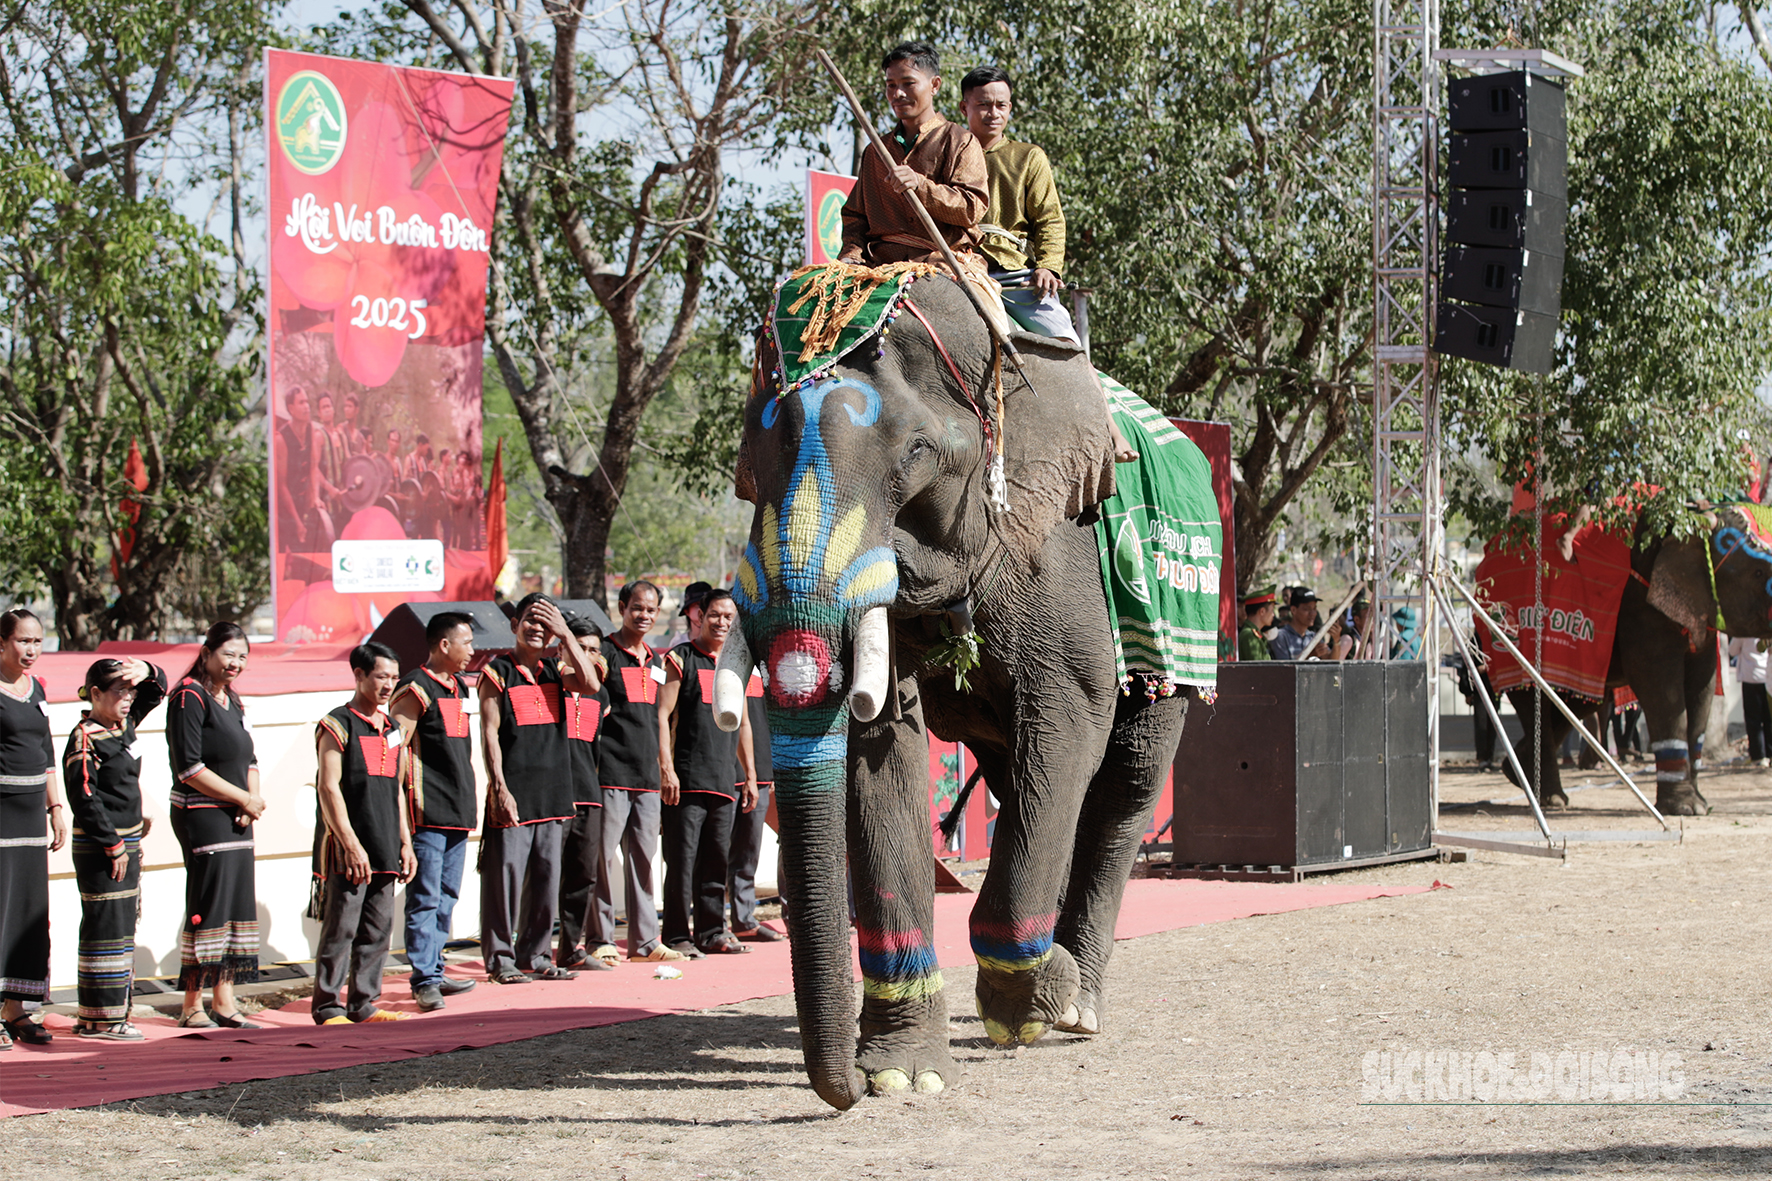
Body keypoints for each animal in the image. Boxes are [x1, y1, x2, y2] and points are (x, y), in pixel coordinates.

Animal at [712, 271, 1197, 1106]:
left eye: (916, 452)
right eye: (749, 464)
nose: (841, 1093)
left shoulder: (1057, 551)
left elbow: (1071, 715)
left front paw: (1031, 1000)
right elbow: (881, 753)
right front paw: (902, 1075)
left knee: (1126, 780)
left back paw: (1077, 1004)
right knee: (1021, 777)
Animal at [1502, 510, 1772, 815]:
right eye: (1758, 572)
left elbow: (1702, 686)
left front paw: (1701, 805)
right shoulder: (1641, 609)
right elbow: (1661, 688)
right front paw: (1685, 808)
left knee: (1578, 702)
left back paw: (1517, 771)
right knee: (1533, 697)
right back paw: (1551, 798)